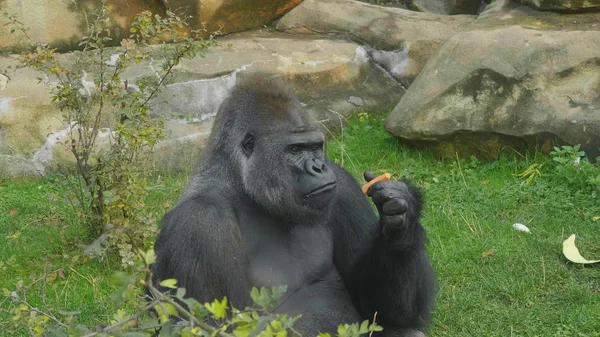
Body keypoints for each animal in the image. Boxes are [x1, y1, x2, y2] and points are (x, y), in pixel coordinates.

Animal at [152, 76, 436, 336]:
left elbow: (380, 311)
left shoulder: (343, 186)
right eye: (295, 149)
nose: (319, 167)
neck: (243, 187)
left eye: (316, 146)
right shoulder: (198, 224)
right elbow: (214, 325)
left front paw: (402, 221)